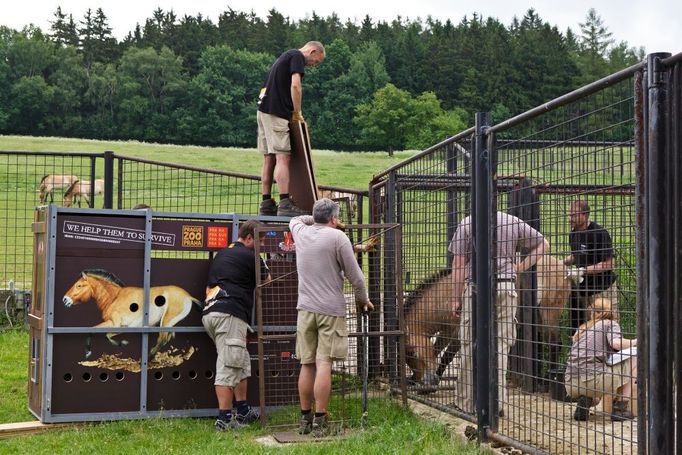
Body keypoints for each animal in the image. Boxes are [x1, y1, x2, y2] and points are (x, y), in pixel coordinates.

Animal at [62, 268, 201, 358]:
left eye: (79, 285)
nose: (65, 300)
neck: (114, 298)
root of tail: (188, 297)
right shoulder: (113, 324)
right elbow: (93, 330)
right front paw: (87, 353)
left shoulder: (119, 325)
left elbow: (107, 335)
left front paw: (123, 343)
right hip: (170, 323)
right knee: (167, 338)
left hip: (165, 322)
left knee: (162, 339)